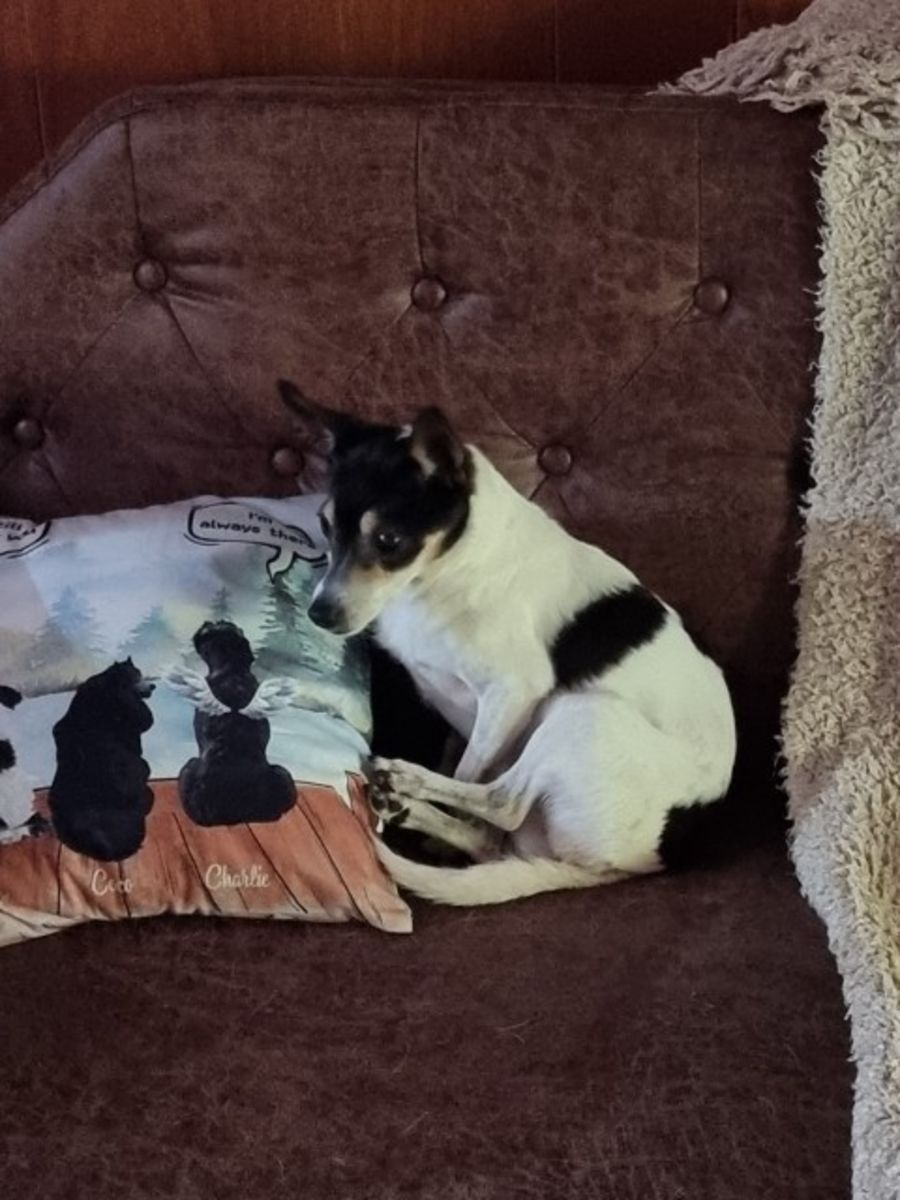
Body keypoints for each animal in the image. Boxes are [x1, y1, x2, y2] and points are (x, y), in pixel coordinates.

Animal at [279, 379, 737, 906]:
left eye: (389, 540)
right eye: (325, 526)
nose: (319, 614)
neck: (444, 571)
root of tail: (634, 865)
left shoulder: (512, 693)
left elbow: (469, 772)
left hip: (585, 713)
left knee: (503, 801)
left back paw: (408, 783)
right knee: (490, 837)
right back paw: (410, 810)